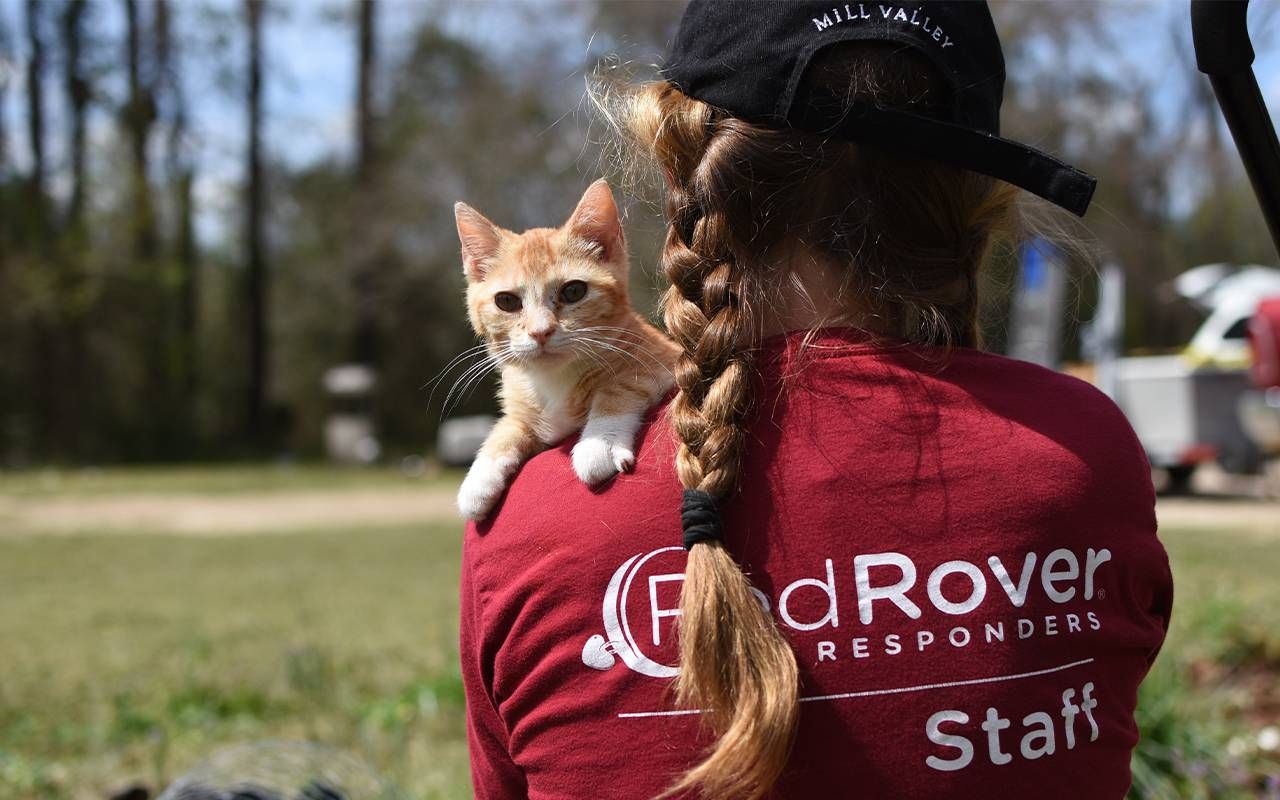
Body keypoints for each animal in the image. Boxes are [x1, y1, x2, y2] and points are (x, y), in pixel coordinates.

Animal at [455, 177, 686, 522]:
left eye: (574, 291)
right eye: (506, 301)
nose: (540, 331)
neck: (554, 380)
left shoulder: (665, 360)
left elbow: (620, 385)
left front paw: (598, 443)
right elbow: (512, 423)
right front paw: (481, 474)